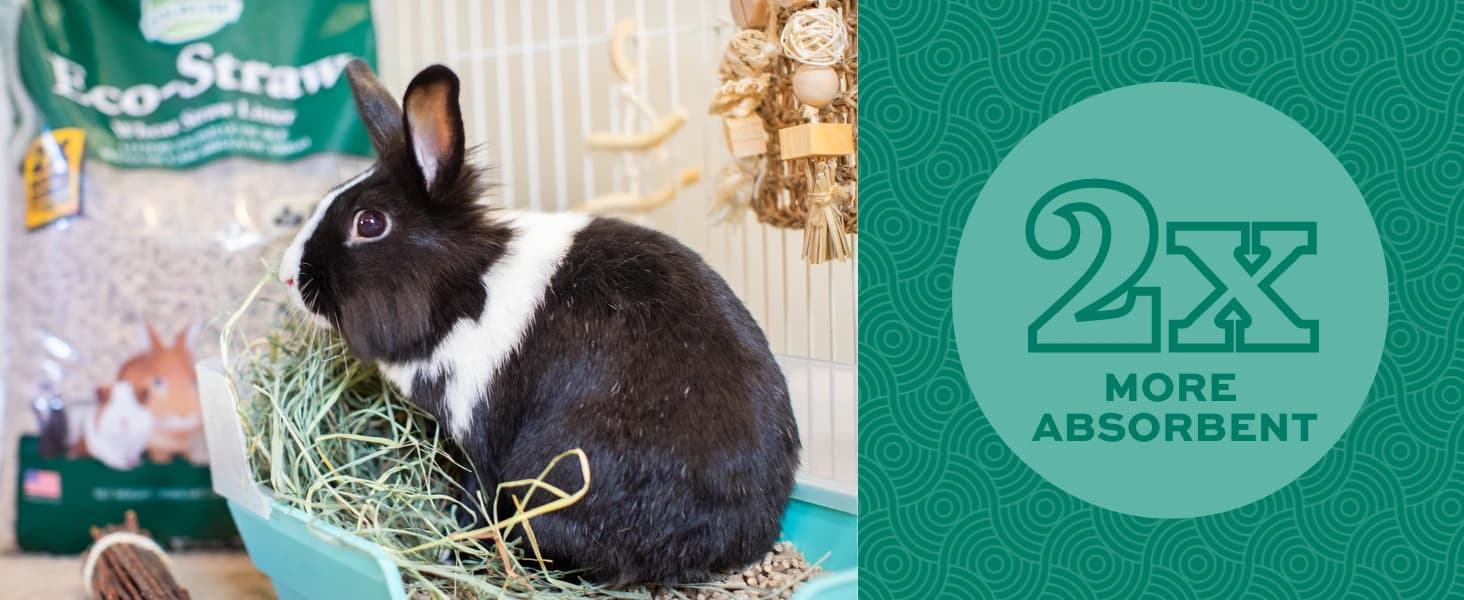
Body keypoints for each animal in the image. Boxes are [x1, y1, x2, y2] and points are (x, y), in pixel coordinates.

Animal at [277, 60, 800, 585]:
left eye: (369, 223)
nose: (287, 277)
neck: (463, 290)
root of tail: (732, 540)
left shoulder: (482, 439)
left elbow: (475, 497)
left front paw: (452, 550)